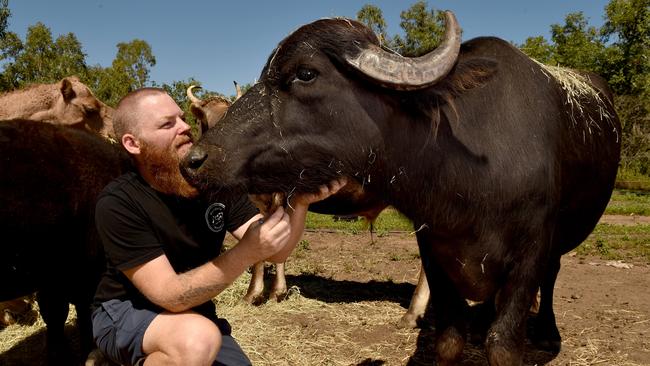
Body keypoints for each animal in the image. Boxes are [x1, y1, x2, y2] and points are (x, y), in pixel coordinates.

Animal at [181, 11, 616, 366]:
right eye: (202, 120)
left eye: (305, 73)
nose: (194, 160)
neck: (473, 178)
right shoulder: (435, 246)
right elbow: (450, 342)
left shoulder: (528, 256)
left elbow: (504, 346)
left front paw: (261, 293)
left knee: (553, 274)